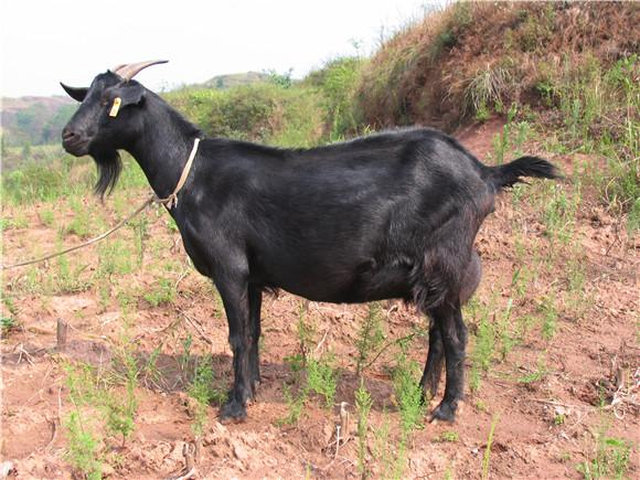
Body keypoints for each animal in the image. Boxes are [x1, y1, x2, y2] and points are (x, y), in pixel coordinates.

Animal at [61, 61, 559, 422]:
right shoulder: (253, 274)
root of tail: (485, 173)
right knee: (438, 333)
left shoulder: (229, 266)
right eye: (85, 95)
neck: (192, 170)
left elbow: (237, 335)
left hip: (446, 261)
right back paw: (421, 395)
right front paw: (253, 388)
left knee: (455, 336)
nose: (69, 136)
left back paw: (446, 409)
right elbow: (253, 333)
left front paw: (234, 406)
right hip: (436, 276)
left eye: (110, 102)